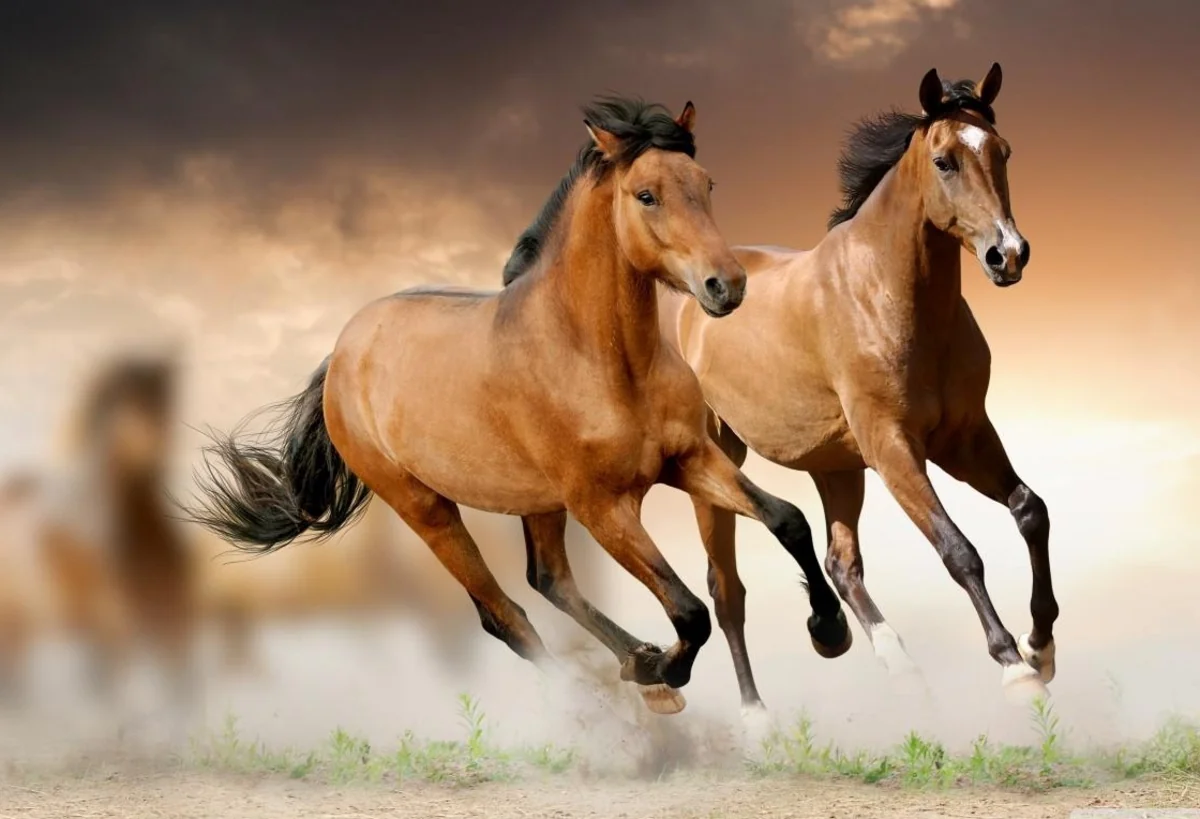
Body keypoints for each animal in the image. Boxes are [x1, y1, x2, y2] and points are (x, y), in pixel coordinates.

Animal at [0, 348, 200, 720]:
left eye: (166, 396)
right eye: (126, 400)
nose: (157, 451)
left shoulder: (172, 625)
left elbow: (179, 701)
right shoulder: (113, 635)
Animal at [183, 96, 849, 718]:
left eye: (707, 184)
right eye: (647, 195)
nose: (726, 286)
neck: (602, 360)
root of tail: (342, 355)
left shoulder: (689, 459)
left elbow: (787, 519)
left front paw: (829, 631)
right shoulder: (603, 507)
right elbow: (689, 612)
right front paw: (666, 669)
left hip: (537, 502)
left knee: (548, 579)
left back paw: (638, 666)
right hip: (427, 508)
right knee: (504, 615)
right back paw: (615, 697)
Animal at [659, 63, 1055, 708]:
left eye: (1003, 151)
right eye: (944, 160)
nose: (1009, 254)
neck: (887, 294)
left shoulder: (964, 437)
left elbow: (1030, 511)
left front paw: (1040, 645)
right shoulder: (893, 447)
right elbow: (958, 550)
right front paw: (1012, 665)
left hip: (837, 467)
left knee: (840, 564)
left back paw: (888, 658)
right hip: (717, 459)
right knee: (727, 591)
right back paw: (756, 714)